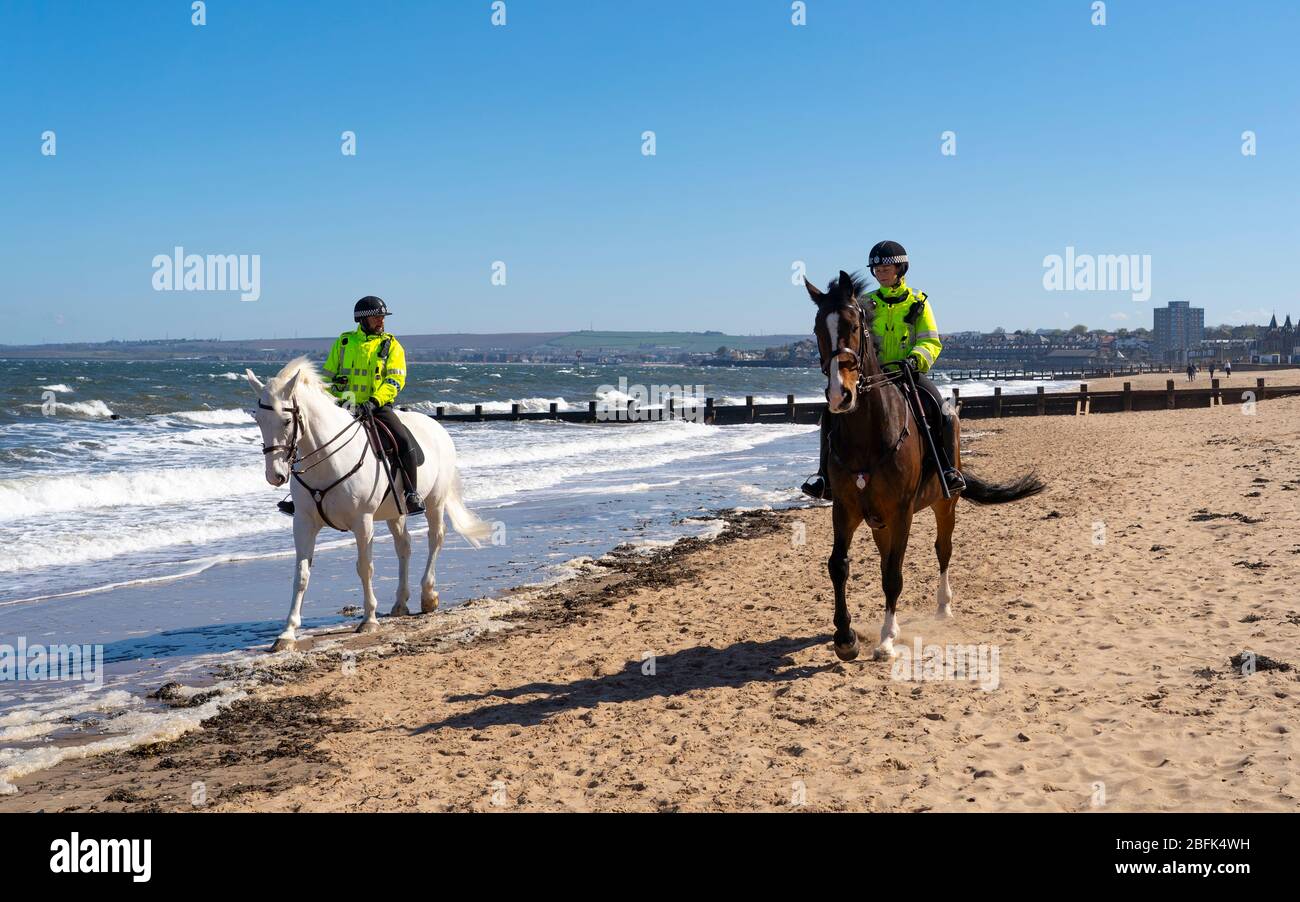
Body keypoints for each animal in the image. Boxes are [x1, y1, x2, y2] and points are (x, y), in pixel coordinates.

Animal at [243, 356, 488, 652]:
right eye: (258, 420)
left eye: (287, 420)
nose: (275, 475)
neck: (327, 458)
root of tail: (437, 426)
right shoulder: (303, 523)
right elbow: (301, 574)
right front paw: (287, 633)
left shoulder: (363, 521)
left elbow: (365, 567)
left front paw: (369, 619)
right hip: (396, 511)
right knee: (404, 546)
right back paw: (400, 602)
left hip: (435, 502)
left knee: (435, 539)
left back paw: (428, 596)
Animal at [800, 271, 1045, 660]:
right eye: (817, 329)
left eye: (854, 326)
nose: (841, 396)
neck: (868, 434)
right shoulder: (845, 508)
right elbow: (839, 565)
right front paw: (845, 638)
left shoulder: (902, 511)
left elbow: (893, 575)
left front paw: (886, 641)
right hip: (879, 520)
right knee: (887, 557)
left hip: (945, 504)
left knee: (942, 549)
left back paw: (943, 606)